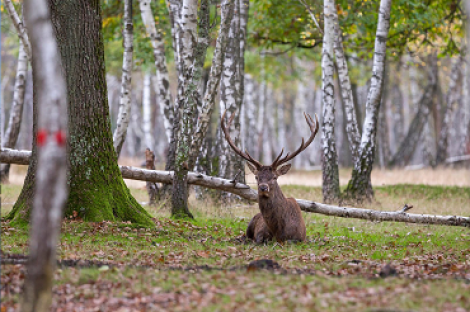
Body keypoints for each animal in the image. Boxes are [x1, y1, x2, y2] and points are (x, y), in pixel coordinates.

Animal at [220, 109, 320, 244]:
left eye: (274, 177)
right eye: (256, 177)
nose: (263, 187)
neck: (279, 232)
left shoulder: (300, 239)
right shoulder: (261, 235)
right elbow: (258, 240)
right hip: (250, 224)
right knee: (243, 236)